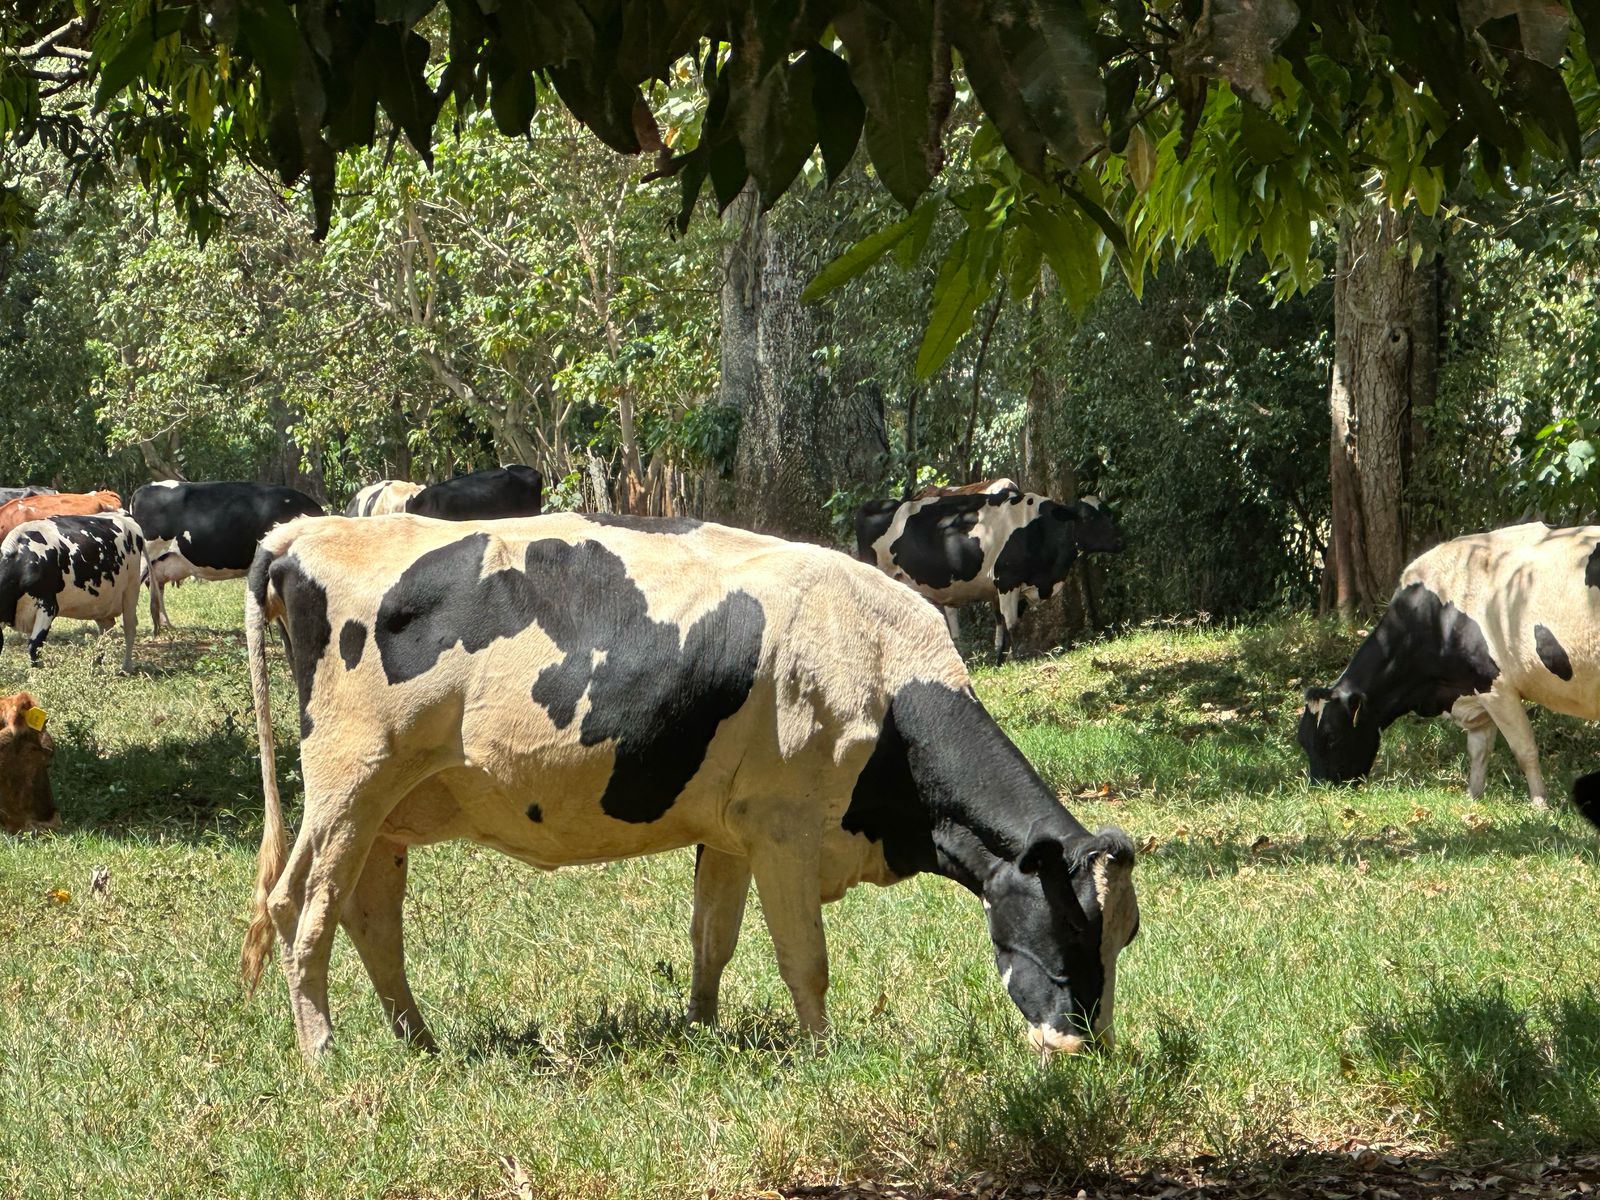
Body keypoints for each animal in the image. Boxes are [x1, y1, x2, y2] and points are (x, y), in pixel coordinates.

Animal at [0, 513, 146, 673]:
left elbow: (34, 645)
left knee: (129, 628)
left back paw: (126, 668)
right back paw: (96, 663)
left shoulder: (48, 606)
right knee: (106, 628)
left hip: (131, 590)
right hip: (101, 603)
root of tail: (123, 516)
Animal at [238, 513, 1138, 1062]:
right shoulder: (783, 828)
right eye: (1068, 926)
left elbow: (713, 940)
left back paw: (420, 1043)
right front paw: (821, 1056)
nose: (1080, 1049)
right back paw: (322, 1054)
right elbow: (804, 959)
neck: (883, 671)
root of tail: (308, 530)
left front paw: (701, 1032)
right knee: (300, 907)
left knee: (369, 918)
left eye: (1122, 936)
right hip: (351, 782)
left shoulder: (730, 827)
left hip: (389, 811)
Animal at [856, 489, 1126, 663]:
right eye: (1088, 517)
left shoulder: (1008, 588)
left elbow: (1003, 626)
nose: (1120, 541)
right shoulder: (1007, 579)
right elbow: (1011, 623)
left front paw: (1000, 661)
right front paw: (1018, 660)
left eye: (1109, 514)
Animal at [1299, 522, 1600, 808]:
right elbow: (1478, 751)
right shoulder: (1471, 689)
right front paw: (1472, 798)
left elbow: (1524, 750)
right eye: (1303, 740)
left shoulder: (1495, 686)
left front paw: (1539, 804)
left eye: (1332, 737)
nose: (1320, 789)